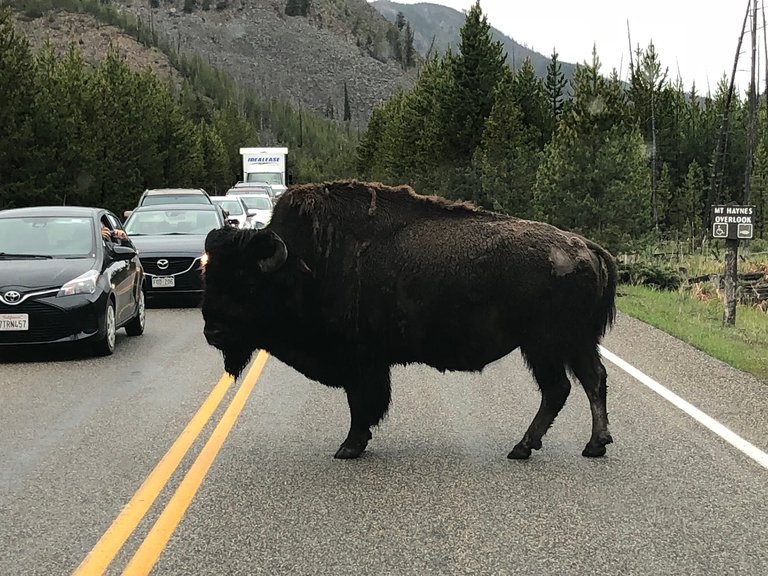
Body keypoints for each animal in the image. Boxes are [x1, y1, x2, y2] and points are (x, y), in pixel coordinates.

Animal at [202, 179, 616, 460]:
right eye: (210, 276)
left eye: (247, 284)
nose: (213, 332)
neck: (304, 264)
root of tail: (585, 247)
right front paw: (354, 444)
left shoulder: (361, 362)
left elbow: (362, 404)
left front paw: (349, 447)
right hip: (574, 342)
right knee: (590, 381)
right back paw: (592, 445)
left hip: (546, 345)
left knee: (560, 388)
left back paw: (526, 447)